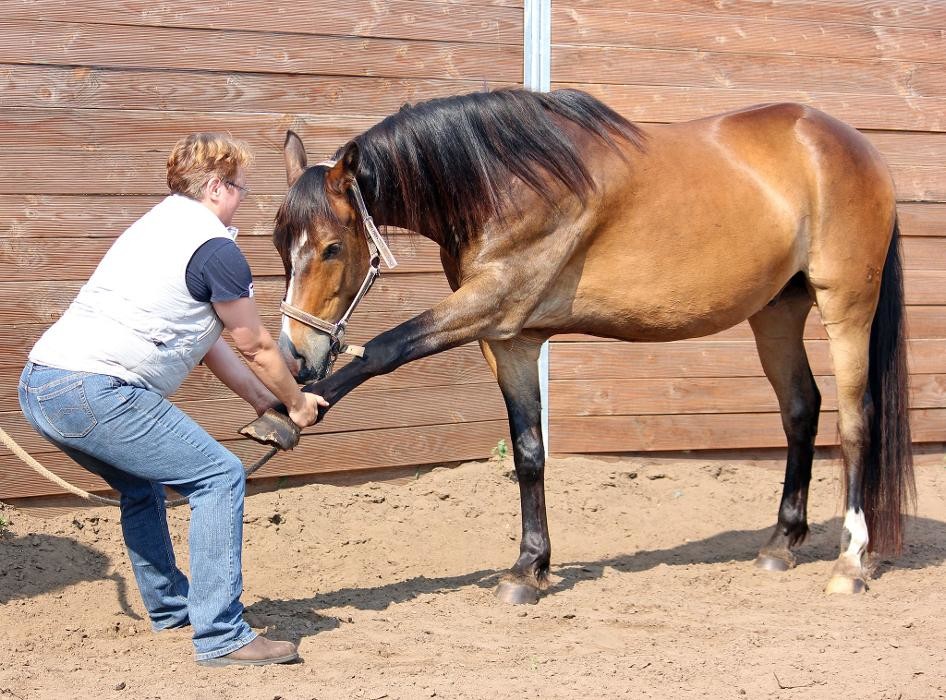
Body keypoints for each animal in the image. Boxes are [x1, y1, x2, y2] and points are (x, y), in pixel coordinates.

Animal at [253, 87, 916, 600]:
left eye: (332, 247)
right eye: (282, 246)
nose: (297, 355)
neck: (506, 182)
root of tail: (852, 145)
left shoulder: (489, 304)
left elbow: (387, 348)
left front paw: (282, 420)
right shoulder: (510, 339)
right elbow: (528, 452)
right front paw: (528, 568)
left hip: (846, 307)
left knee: (855, 421)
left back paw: (850, 563)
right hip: (776, 312)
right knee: (801, 409)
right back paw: (781, 542)